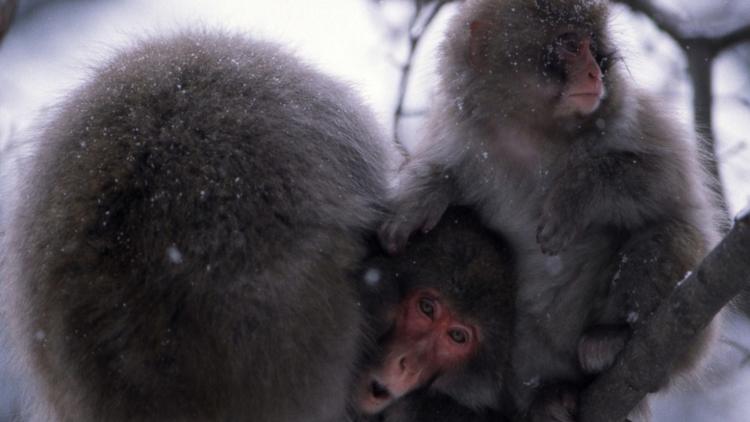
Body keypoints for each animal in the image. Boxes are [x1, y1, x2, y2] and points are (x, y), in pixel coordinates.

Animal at [378, 0, 724, 418]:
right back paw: (548, 398)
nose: (594, 72)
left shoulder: (634, 118)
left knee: (671, 233)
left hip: (684, 347)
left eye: (593, 48)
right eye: (571, 45)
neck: (533, 134)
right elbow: (444, 175)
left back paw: (613, 339)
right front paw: (421, 199)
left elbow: (667, 184)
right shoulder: (464, 137)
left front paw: (573, 198)